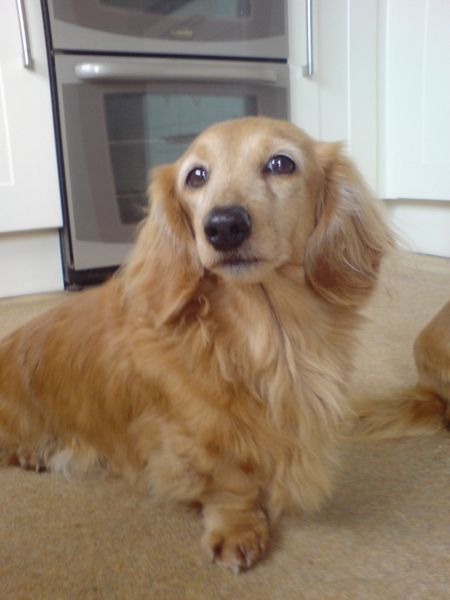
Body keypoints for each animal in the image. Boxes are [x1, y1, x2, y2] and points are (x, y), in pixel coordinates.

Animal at [0, 117, 393, 573]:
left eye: (281, 163)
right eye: (196, 176)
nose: (223, 226)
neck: (263, 334)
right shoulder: (191, 435)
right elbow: (229, 482)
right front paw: (237, 527)